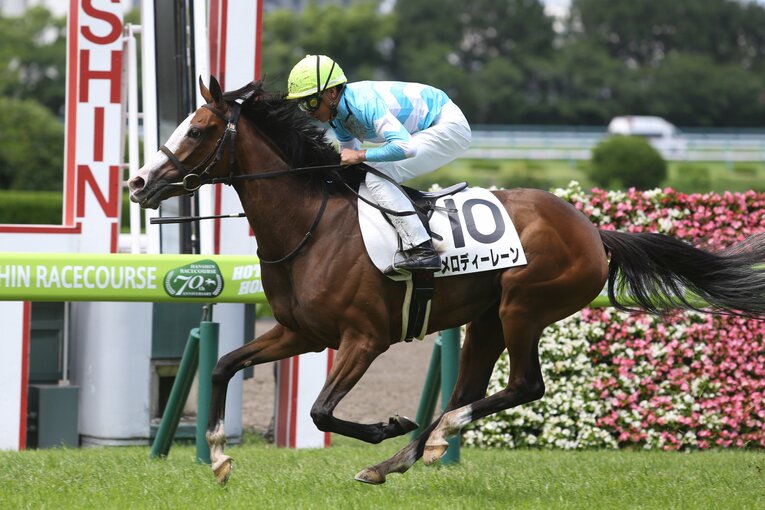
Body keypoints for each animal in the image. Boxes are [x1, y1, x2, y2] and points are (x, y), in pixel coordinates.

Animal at [128, 76, 765, 485]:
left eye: (198, 129)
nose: (137, 183)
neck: (313, 225)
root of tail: (591, 229)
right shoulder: (300, 332)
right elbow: (223, 365)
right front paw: (217, 458)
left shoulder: (364, 338)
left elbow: (321, 412)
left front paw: (389, 423)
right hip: (486, 319)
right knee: (470, 388)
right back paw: (405, 455)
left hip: (523, 308)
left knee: (521, 386)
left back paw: (426, 440)